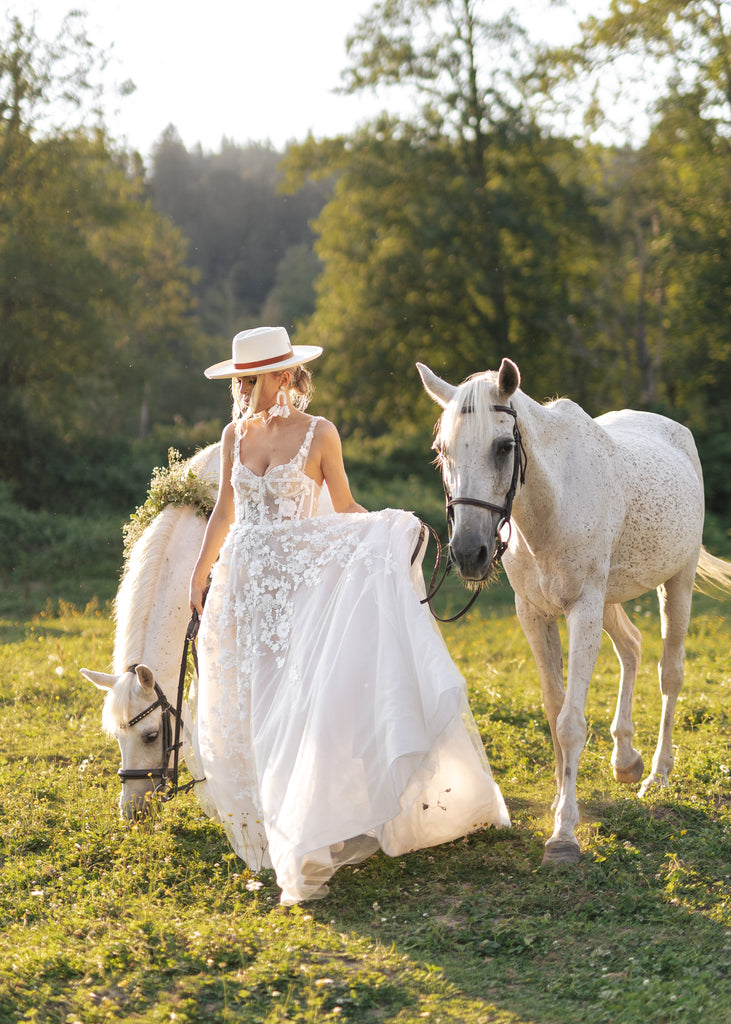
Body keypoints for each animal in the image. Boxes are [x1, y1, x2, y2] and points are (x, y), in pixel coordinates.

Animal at [415, 358, 728, 864]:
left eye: (504, 447)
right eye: (441, 451)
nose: (468, 553)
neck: (552, 505)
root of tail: (677, 432)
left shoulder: (583, 609)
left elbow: (569, 723)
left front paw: (563, 834)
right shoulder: (534, 614)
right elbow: (553, 708)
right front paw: (563, 803)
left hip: (673, 584)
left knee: (670, 673)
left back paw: (656, 775)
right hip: (611, 598)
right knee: (632, 648)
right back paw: (626, 761)